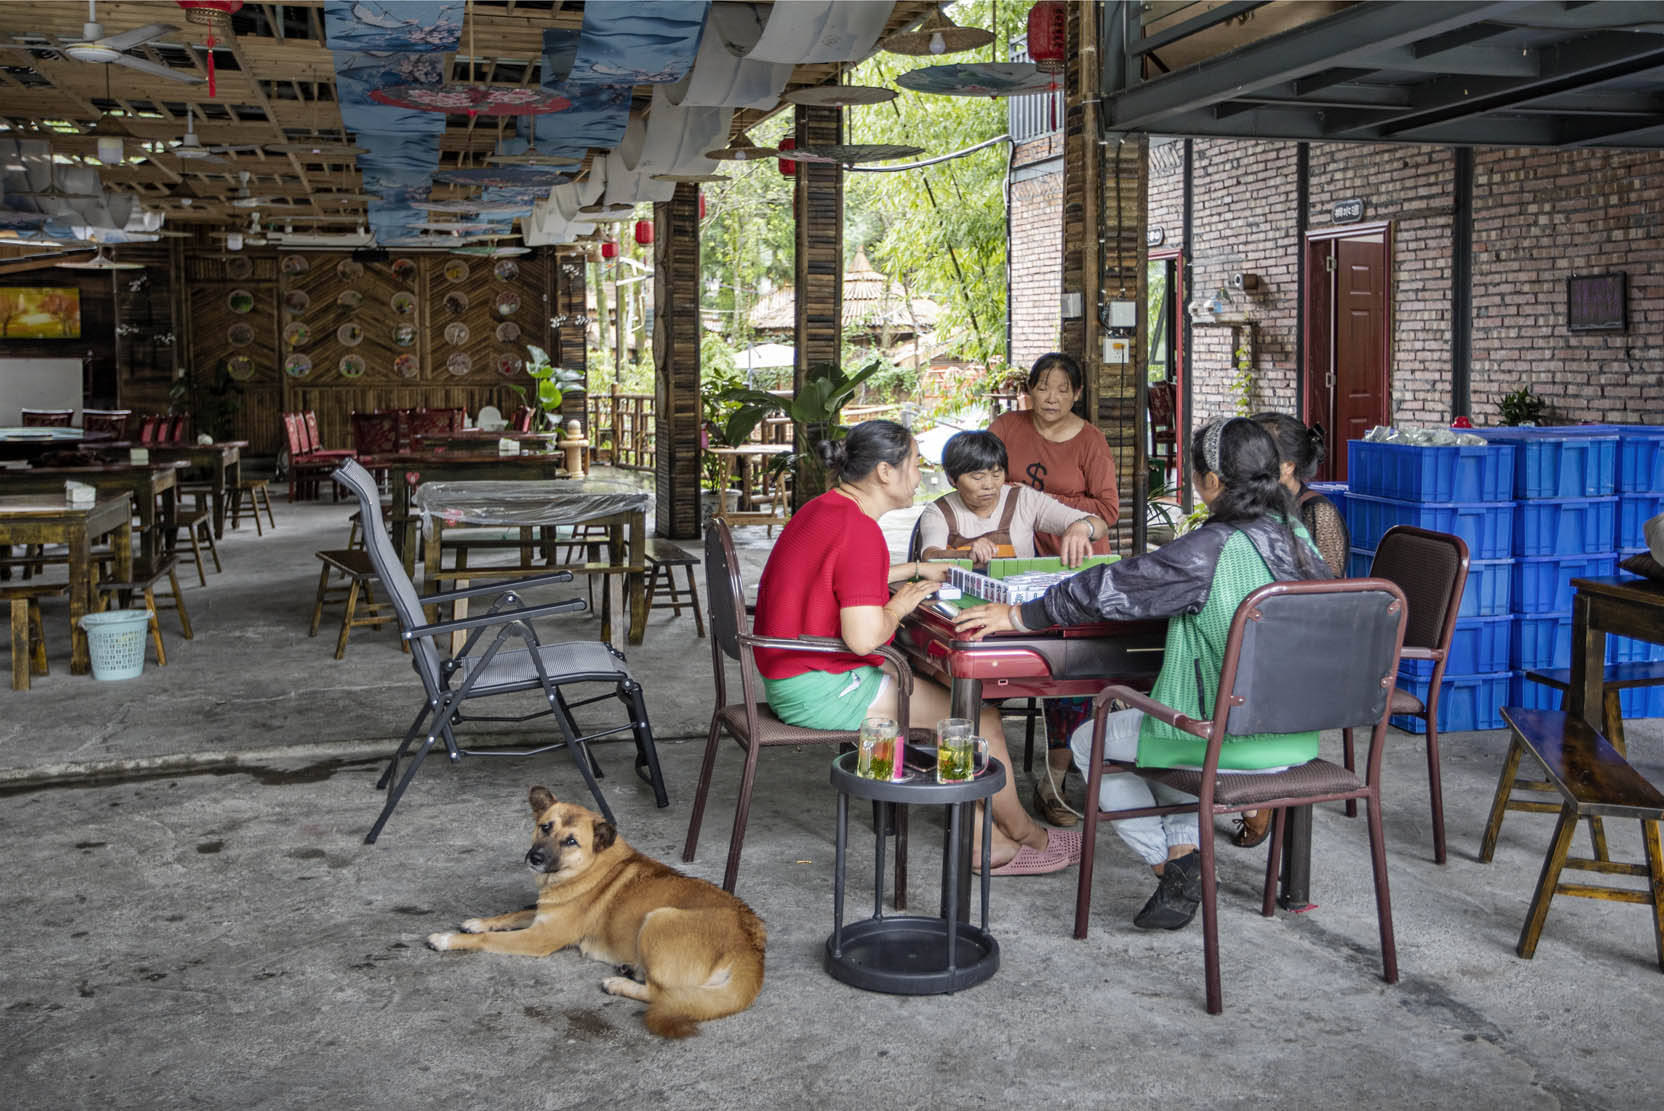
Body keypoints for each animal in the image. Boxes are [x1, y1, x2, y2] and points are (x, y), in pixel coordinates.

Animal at [429, 785, 765, 1037]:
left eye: (571, 841)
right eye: (545, 827)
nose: (535, 858)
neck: (590, 867)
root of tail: (750, 948)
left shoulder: (539, 937)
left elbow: (488, 940)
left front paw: (447, 939)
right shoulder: (543, 914)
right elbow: (514, 913)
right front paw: (478, 921)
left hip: (658, 919)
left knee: (661, 993)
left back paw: (619, 983)